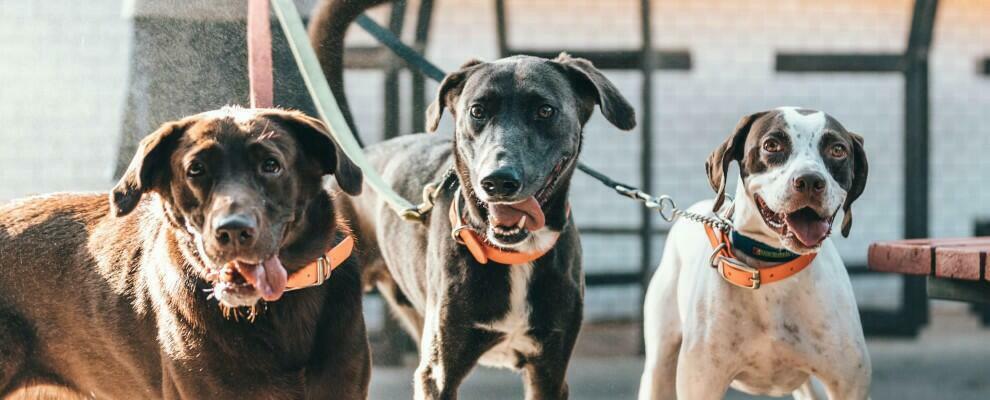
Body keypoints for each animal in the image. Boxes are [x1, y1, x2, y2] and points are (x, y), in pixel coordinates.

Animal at [640, 107, 872, 400]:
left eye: (838, 150)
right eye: (771, 145)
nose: (809, 180)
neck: (771, 265)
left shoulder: (849, 386)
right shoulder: (701, 384)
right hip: (657, 369)